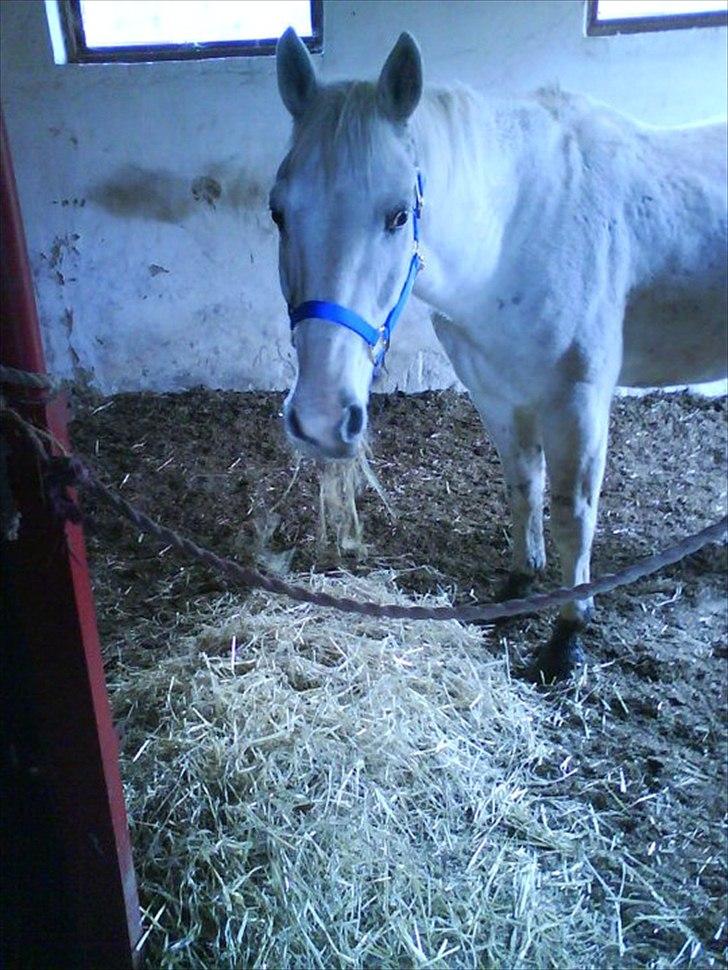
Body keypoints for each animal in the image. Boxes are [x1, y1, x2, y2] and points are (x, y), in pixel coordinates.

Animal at [272, 24, 728, 672]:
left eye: (399, 215)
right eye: (278, 213)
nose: (319, 419)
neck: (518, 231)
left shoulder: (578, 400)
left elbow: (571, 513)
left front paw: (566, 634)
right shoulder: (494, 392)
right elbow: (521, 485)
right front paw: (518, 584)